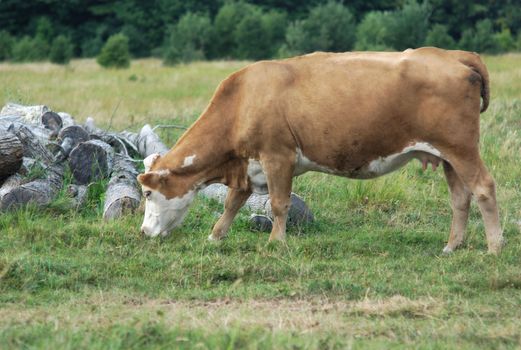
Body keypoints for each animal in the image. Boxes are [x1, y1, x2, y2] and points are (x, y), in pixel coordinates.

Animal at [138, 46, 504, 254]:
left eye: (147, 194)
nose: (143, 232)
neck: (242, 100)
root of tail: (452, 55)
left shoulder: (278, 157)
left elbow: (279, 204)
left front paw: (276, 243)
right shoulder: (248, 164)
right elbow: (232, 203)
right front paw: (215, 237)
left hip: (461, 148)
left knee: (484, 188)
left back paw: (495, 247)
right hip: (447, 156)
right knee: (460, 198)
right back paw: (452, 246)